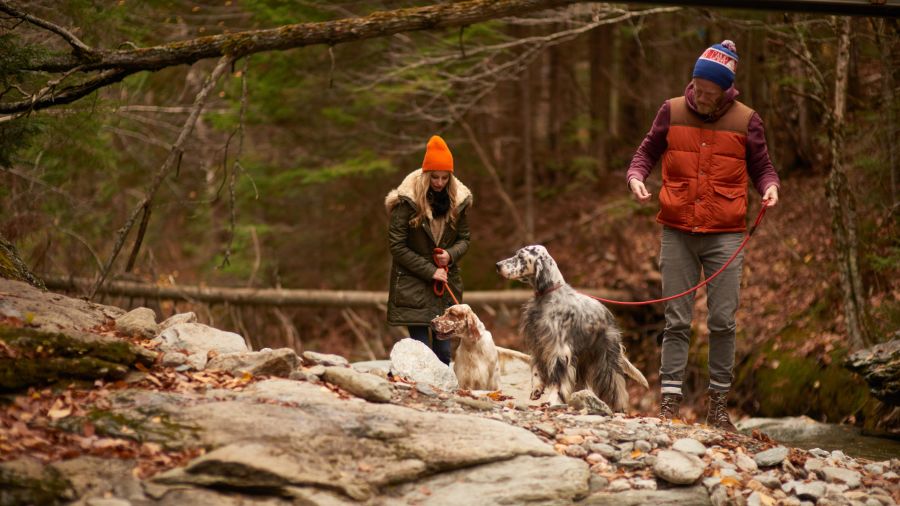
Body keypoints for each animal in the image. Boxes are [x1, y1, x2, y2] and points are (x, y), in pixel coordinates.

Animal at [492, 245, 648, 412]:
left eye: (520, 257)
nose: (497, 265)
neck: (547, 296)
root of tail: (609, 315)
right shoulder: (539, 346)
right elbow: (536, 372)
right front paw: (537, 390)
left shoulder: (560, 351)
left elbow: (558, 380)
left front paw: (553, 400)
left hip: (605, 360)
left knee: (616, 385)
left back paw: (618, 408)